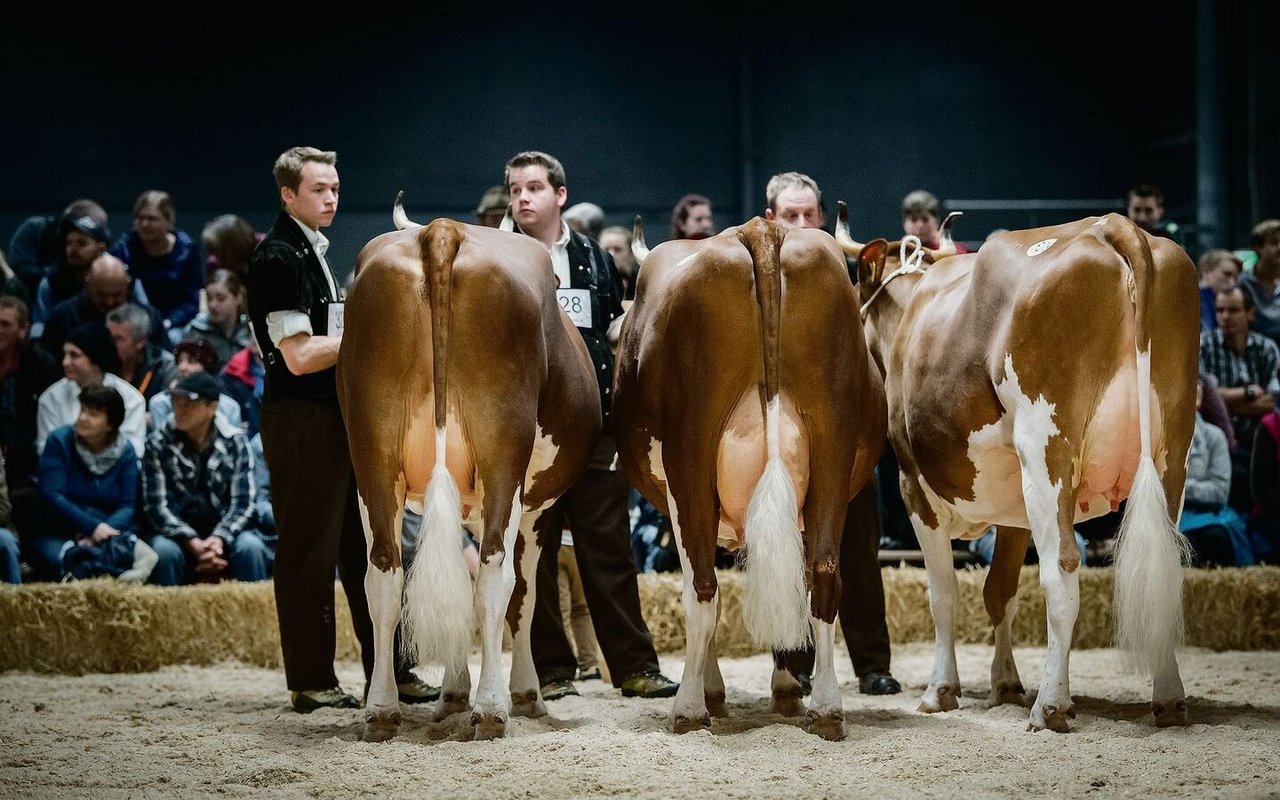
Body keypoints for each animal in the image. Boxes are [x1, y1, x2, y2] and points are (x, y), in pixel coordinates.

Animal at [337, 194, 601, 742]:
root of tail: (441, 231)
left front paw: (453, 693)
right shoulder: (535, 510)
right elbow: (521, 596)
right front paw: (521, 694)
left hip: (372, 458)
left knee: (385, 576)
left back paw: (382, 710)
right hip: (504, 458)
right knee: (496, 578)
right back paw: (493, 710)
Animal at [614, 215, 885, 737]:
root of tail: (760, 229)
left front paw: (714, 691)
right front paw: (786, 687)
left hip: (689, 456)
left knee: (701, 586)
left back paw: (688, 709)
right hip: (833, 448)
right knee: (822, 575)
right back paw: (826, 708)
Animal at [834, 206, 1203, 732]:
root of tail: (1113, 225)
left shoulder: (914, 488)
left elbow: (943, 593)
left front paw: (940, 690)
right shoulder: (1013, 508)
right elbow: (999, 591)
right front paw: (1005, 684)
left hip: (1046, 449)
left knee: (1061, 570)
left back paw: (1050, 706)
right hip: (1172, 450)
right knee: (1164, 566)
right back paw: (1168, 699)